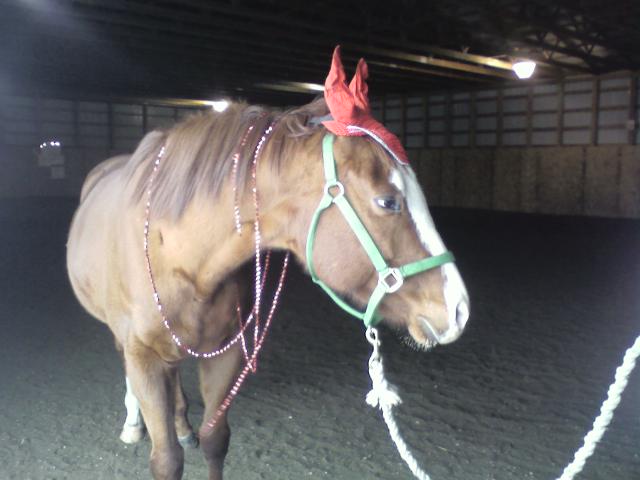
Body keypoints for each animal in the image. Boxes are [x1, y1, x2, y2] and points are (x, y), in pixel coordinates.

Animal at [66, 48, 469, 480]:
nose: (459, 309)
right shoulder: (143, 356)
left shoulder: (225, 353)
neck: (180, 256)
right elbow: (166, 459)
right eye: (388, 201)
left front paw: (193, 431)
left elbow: (215, 439)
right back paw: (133, 422)